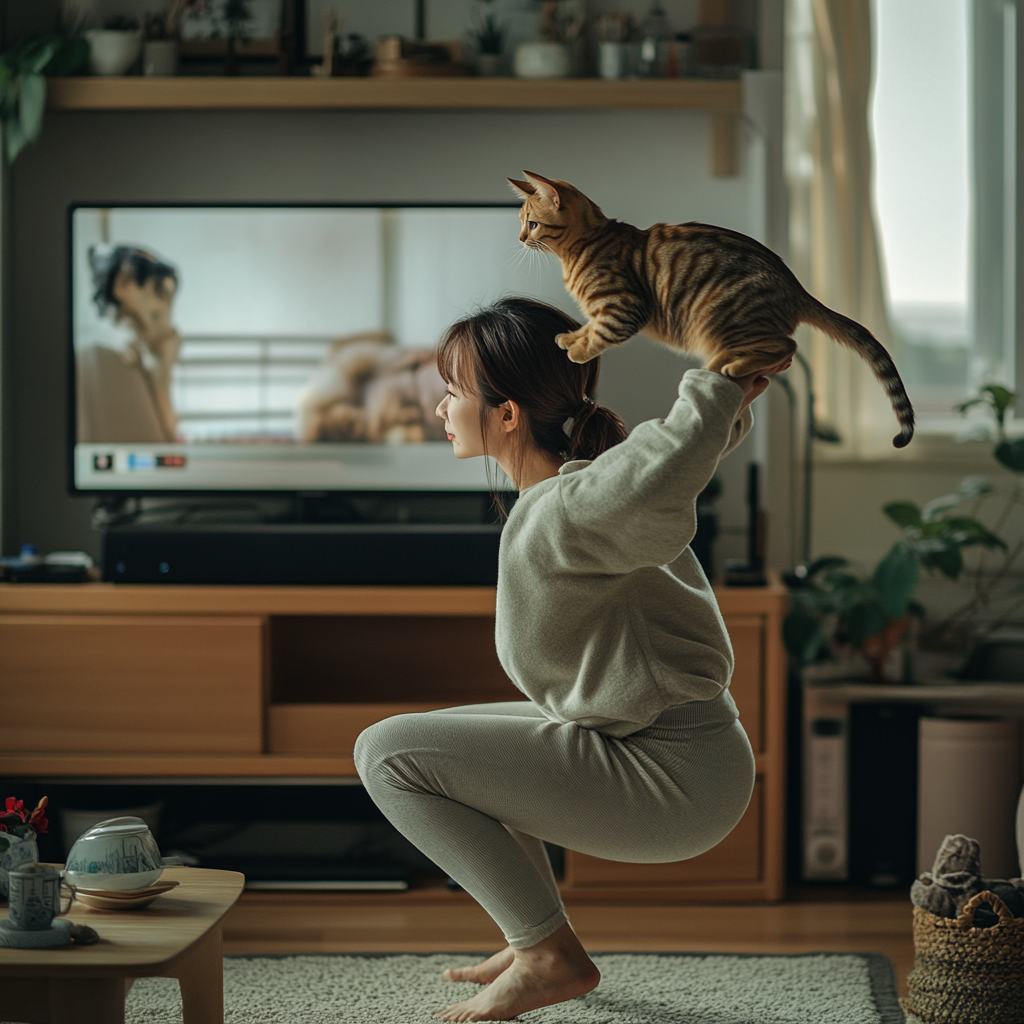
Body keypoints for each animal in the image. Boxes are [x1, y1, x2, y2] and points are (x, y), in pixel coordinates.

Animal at [507, 169, 917, 446]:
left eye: (532, 223)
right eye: (522, 223)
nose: (521, 238)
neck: (584, 247)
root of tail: (797, 288)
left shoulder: (624, 309)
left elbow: (599, 334)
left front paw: (577, 351)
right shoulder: (605, 311)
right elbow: (589, 327)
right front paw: (570, 338)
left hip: (718, 318)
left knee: (786, 345)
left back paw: (727, 365)